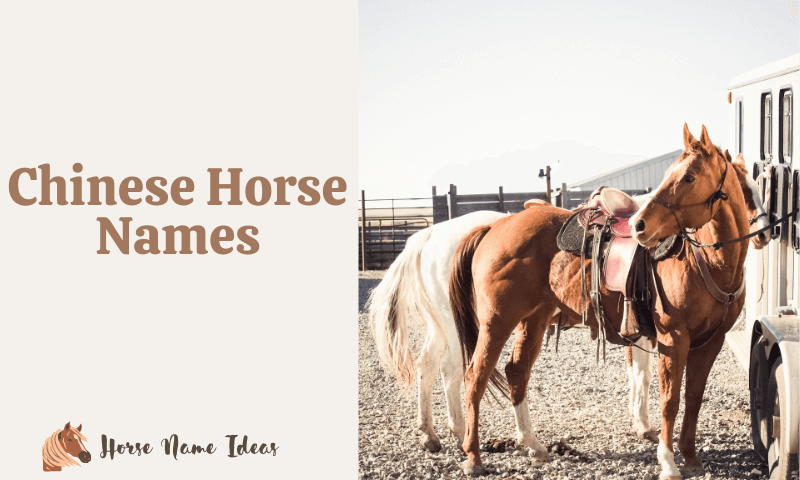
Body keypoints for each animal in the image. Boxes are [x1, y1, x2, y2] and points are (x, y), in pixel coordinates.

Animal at [449, 125, 769, 479]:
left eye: (689, 177)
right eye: (679, 175)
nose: (640, 225)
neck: (708, 262)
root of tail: (496, 225)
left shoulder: (710, 342)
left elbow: (694, 398)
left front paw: (691, 457)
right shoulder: (673, 338)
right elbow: (669, 400)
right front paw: (668, 461)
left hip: (533, 319)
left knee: (516, 372)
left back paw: (533, 444)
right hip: (497, 322)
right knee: (474, 378)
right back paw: (473, 456)